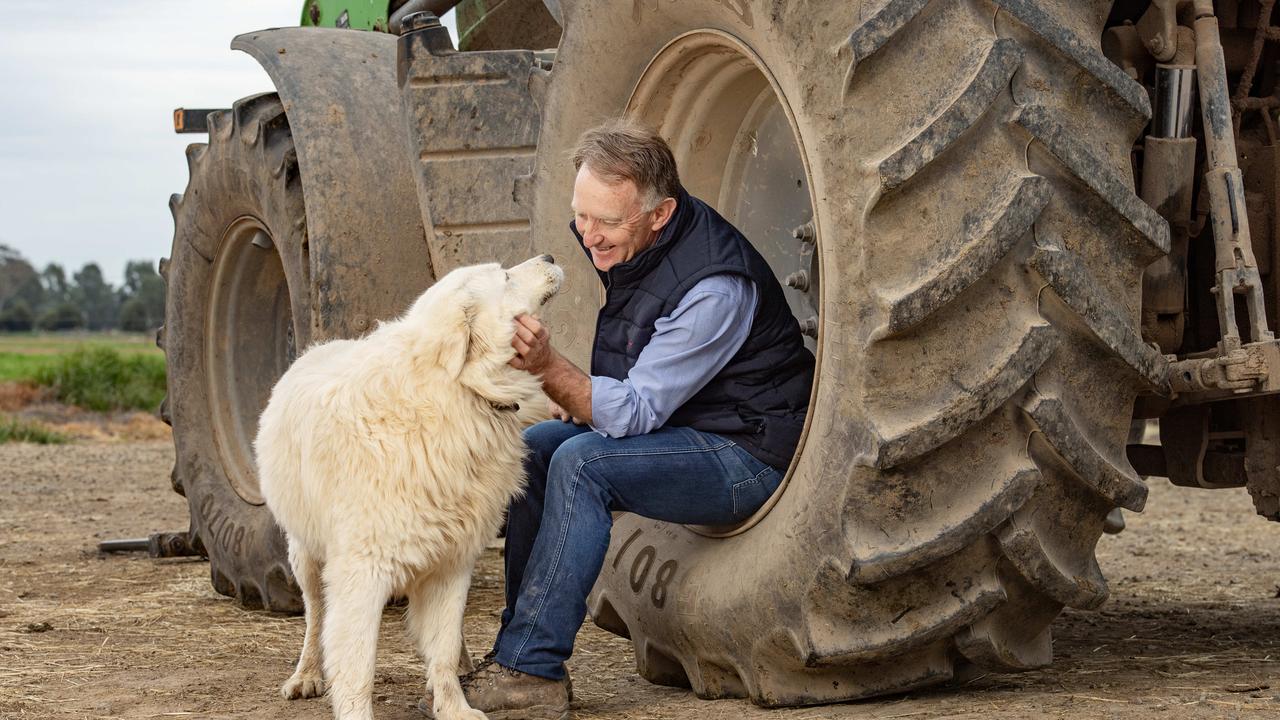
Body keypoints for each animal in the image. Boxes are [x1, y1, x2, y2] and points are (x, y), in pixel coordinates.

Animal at [254, 254, 560, 717]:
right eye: (505, 277)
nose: (551, 258)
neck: (457, 393)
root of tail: (317, 348)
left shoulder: (454, 562)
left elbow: (444, 648)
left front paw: (453, 707)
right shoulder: (360, 571)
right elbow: (356, 662)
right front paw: (356, 712)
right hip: (305, 554)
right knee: (315, 616)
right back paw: (305, 675)